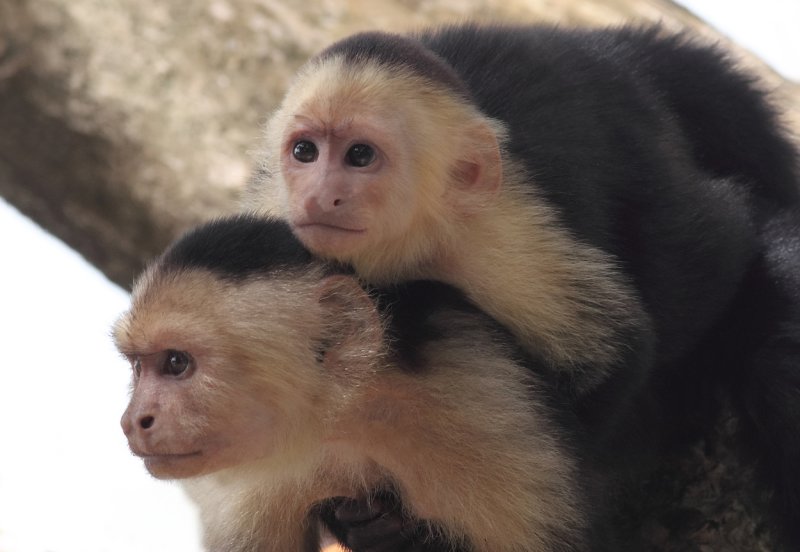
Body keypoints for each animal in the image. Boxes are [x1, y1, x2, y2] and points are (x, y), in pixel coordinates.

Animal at [245, 22, 800, 548]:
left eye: (360, 156)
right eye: (305, 152)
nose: (320, 196)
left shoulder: (499, 239)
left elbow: (614, 354)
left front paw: (403, 522)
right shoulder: (276, 218)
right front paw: (362, 517)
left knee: (704, 250)